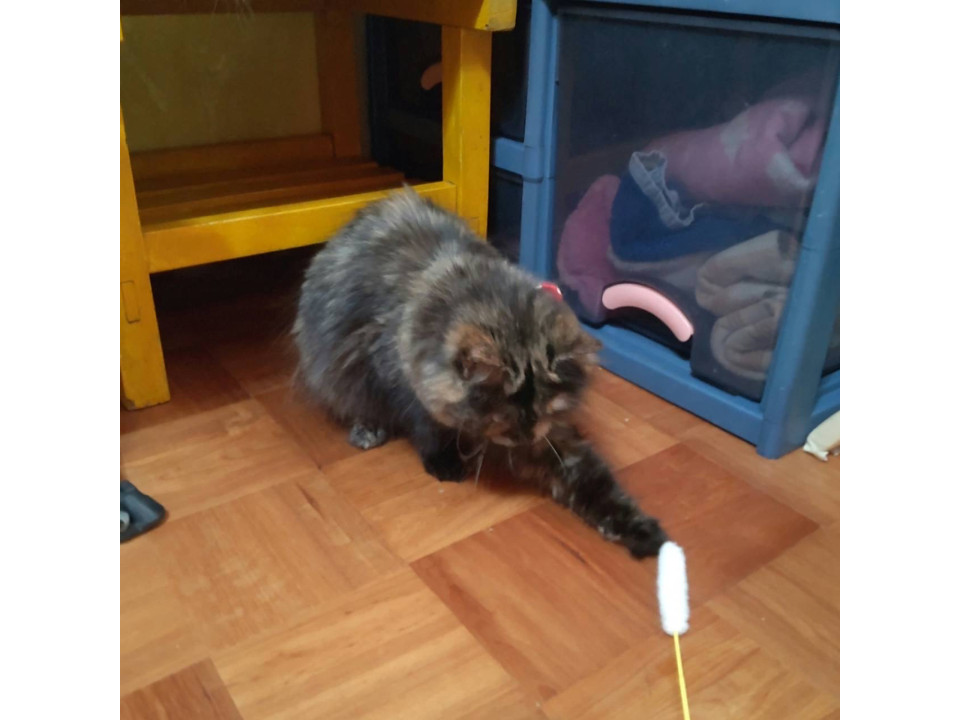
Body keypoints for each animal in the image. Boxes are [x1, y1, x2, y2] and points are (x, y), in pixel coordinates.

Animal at [293, 188, 667, 559]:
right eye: (502, 412)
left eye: (544, 409)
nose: (525, 435)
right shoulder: (398, 377)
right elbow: (427, 424)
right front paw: (445, 461)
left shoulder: (554, 439)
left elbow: (595, 484)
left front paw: (643, 533)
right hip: (335, 367)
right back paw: (368, 431)